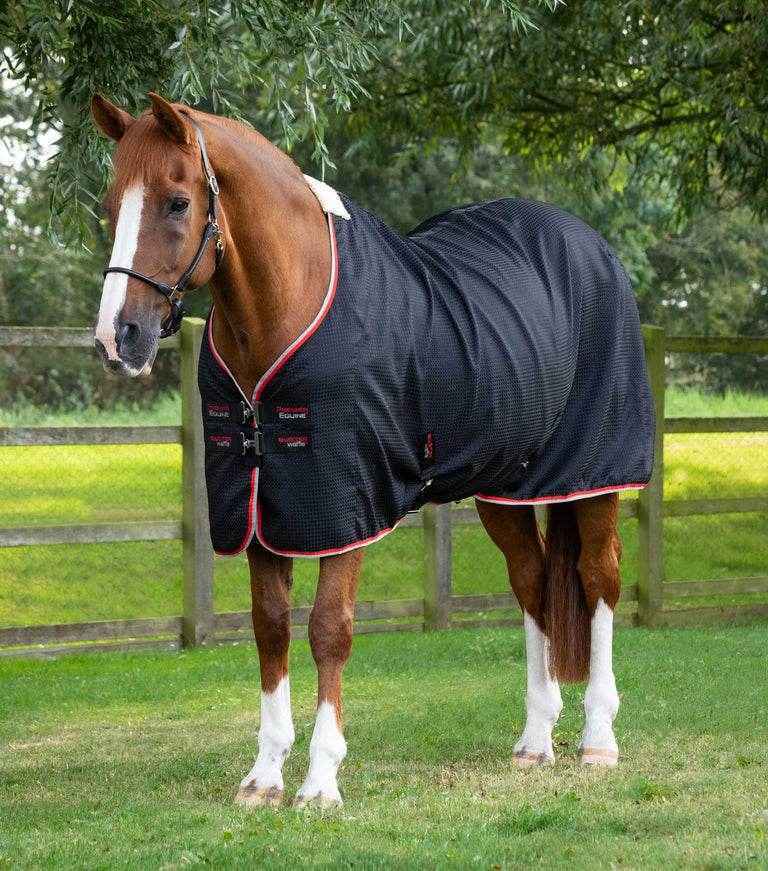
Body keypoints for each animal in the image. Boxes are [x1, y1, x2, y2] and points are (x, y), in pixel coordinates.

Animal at [91, 92, 653, 808]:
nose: (119, 337)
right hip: (505, 487)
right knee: (532, 585)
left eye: (176, 202)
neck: (294, 304)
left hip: (593, 475)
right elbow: (270, 627)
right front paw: (264, 777)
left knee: (599, 579)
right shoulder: (262, 506)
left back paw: (597, 739)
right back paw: (535, 740)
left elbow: (329, 628)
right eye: (110, 205)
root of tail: (588, 244)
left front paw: (320, 781)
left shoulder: (345, 502)